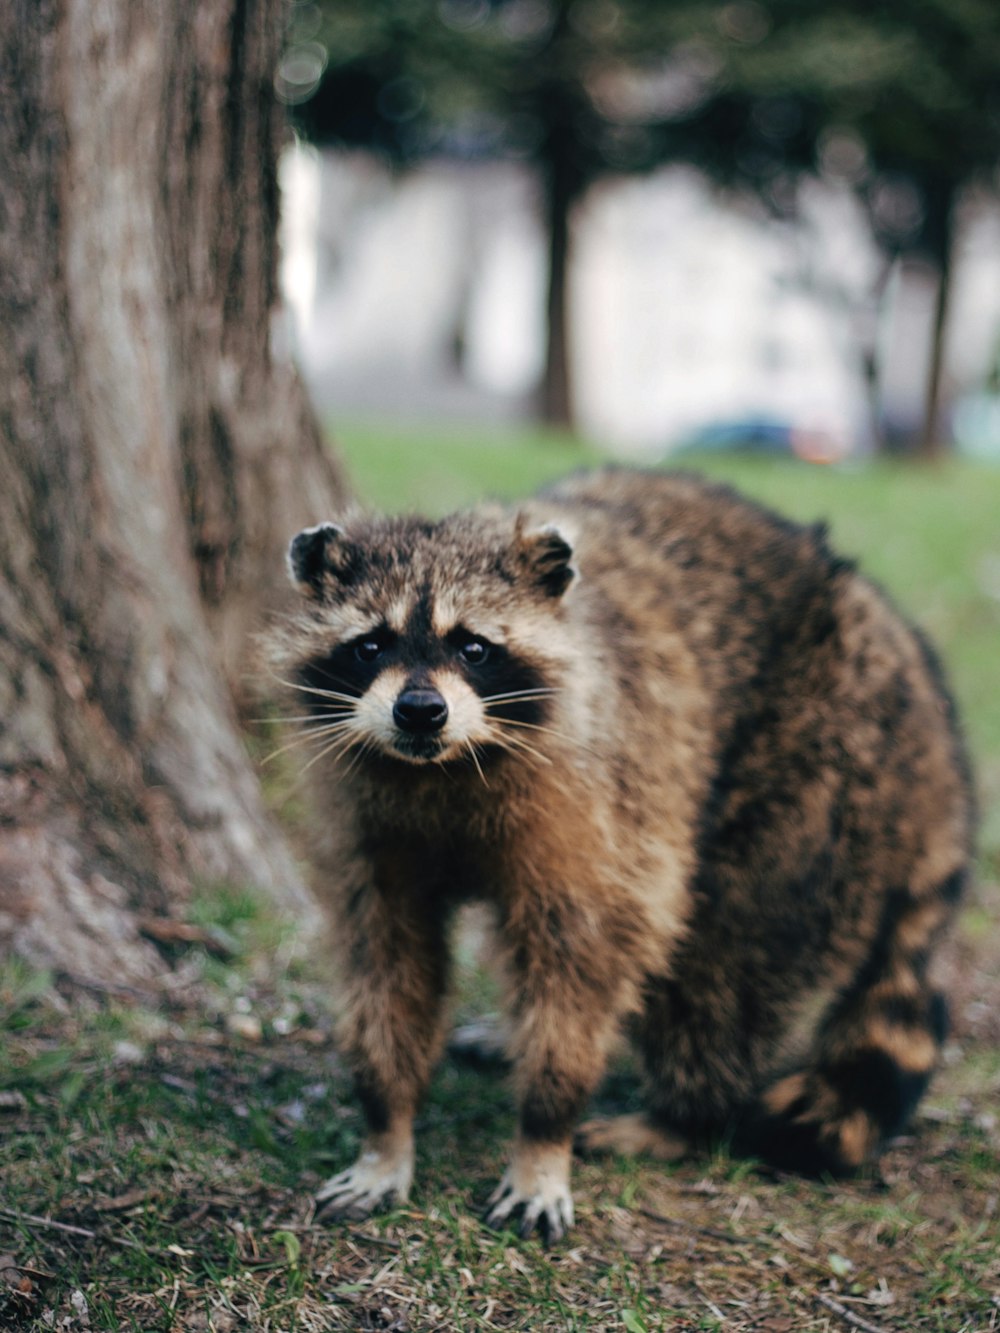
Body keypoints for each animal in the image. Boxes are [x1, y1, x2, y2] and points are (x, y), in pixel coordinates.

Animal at [262, 466, 976, 1237]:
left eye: (473, 647)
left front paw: (544, 1132)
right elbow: (387, 960)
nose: (420, 711)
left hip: (822, 769)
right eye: (371, 645)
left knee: (723, 961)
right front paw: (387, 1126)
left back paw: (684, 1116)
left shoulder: (602, 800)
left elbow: (584, 954)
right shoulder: (367, 822)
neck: (442, 766)